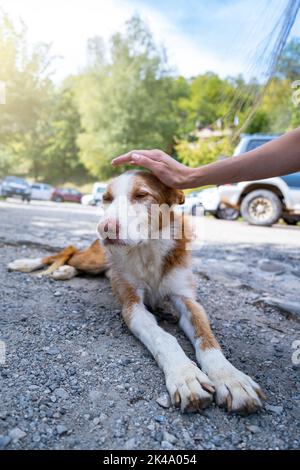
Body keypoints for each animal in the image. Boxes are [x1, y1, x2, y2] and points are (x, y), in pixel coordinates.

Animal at [7, 171, 264, 414]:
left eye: (141, 195)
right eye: (106, 198)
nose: (105, 228)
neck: (147, 248)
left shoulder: (187, 299)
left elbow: (207, 339)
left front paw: (231, 379)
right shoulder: (132, 305)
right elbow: (164, 338)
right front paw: (185, 375)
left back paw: (64, 271)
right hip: (95, 257)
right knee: (67, 252)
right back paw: (27, 263)